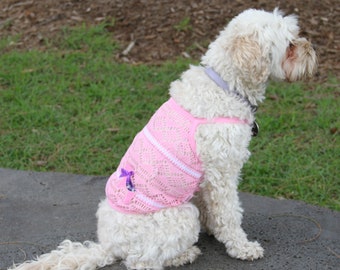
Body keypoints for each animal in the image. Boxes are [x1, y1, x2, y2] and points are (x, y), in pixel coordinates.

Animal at [11, 8, 318, 270]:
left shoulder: (207, 178)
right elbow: (229, 214)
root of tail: (108, 245)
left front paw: (214, 227)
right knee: (140, 261)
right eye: (290, 45)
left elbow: (212, 209)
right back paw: (184, 254)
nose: (312, 49)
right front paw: (242, 247)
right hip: (180, 216)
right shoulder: (222, 173)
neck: (225, 86)